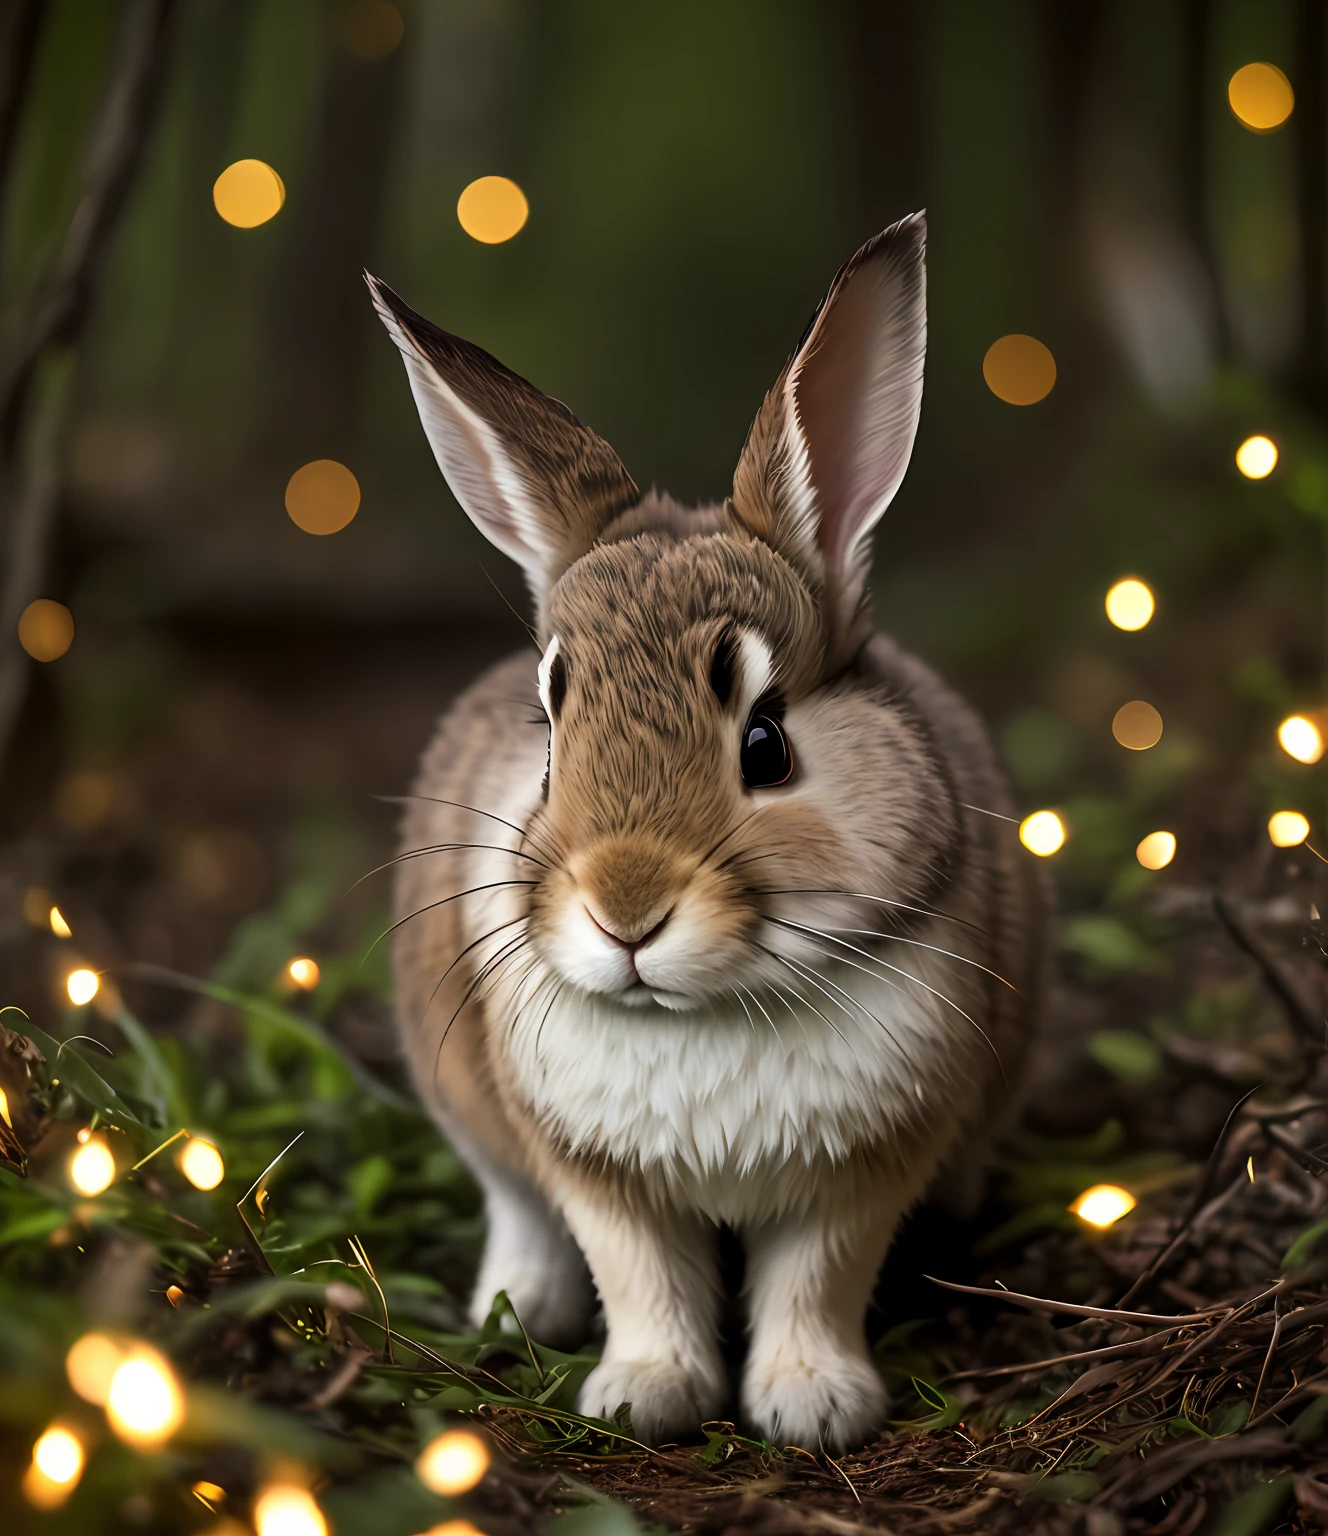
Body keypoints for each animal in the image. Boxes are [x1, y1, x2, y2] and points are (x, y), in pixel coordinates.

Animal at [365, 213, 1043, 1449]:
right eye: (550, 729)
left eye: (766, 744)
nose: (625, 911)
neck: (701, 1011)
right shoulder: (595, 1177)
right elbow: (641, 1277)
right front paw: (645, 1396)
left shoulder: (856, 1180)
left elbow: (814, 1282)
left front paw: (812, 1406)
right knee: (513, 1208)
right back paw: (514, 1309)